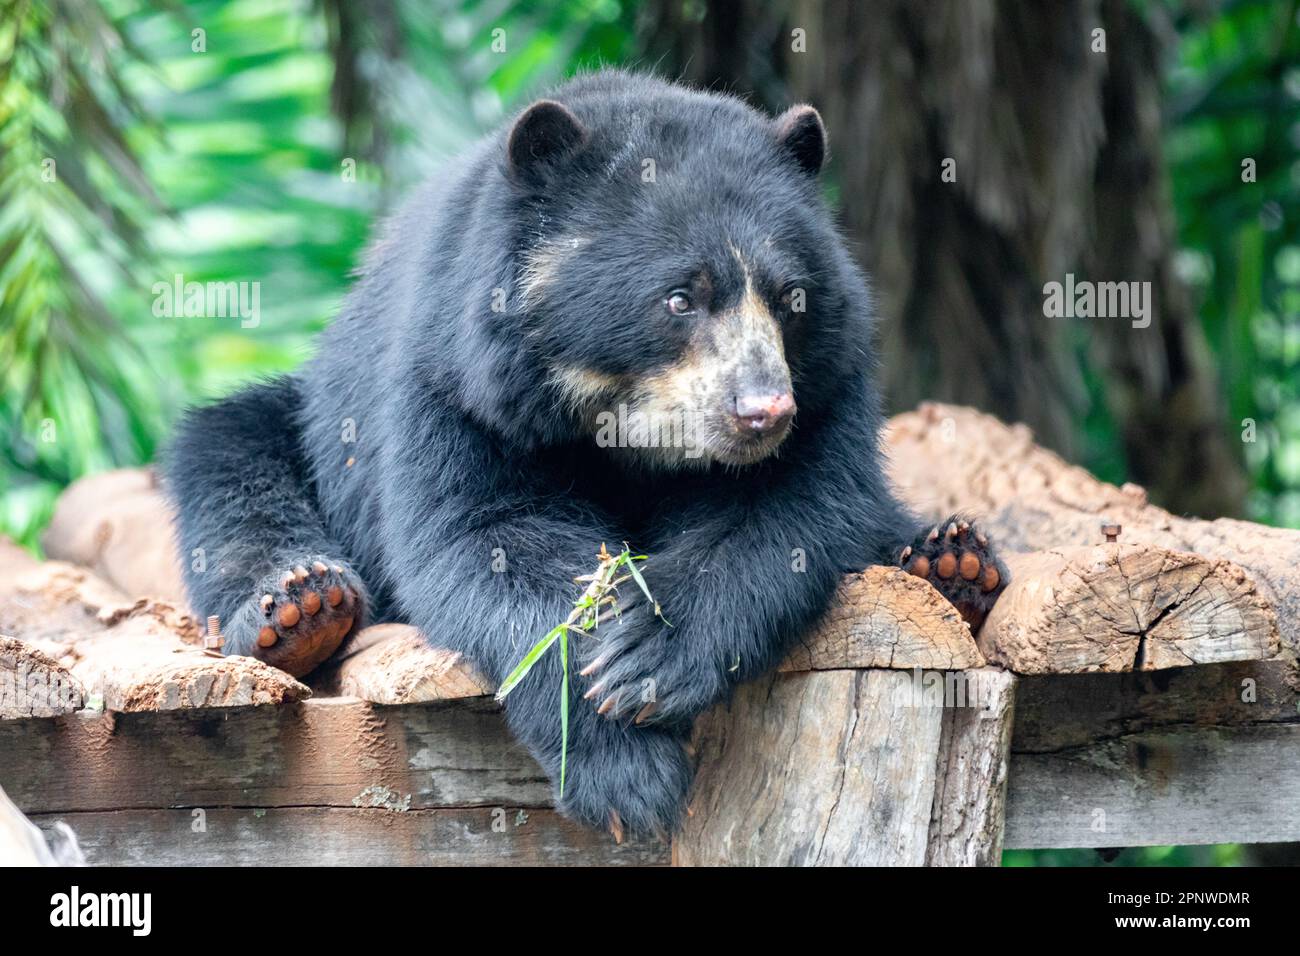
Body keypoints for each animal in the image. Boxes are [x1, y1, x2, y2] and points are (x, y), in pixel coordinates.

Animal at [166, 69, 1006, 840]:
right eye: (680, 298)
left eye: (788, 297)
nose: (763, 412)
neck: (626, 426)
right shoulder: (457, 387)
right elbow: (489, 535)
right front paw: (625, 769)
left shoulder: (829, 385)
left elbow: (787, 508)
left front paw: (648, 656)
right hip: (305, 430)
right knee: (231, 463)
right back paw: (302, 608)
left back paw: (950, 563)